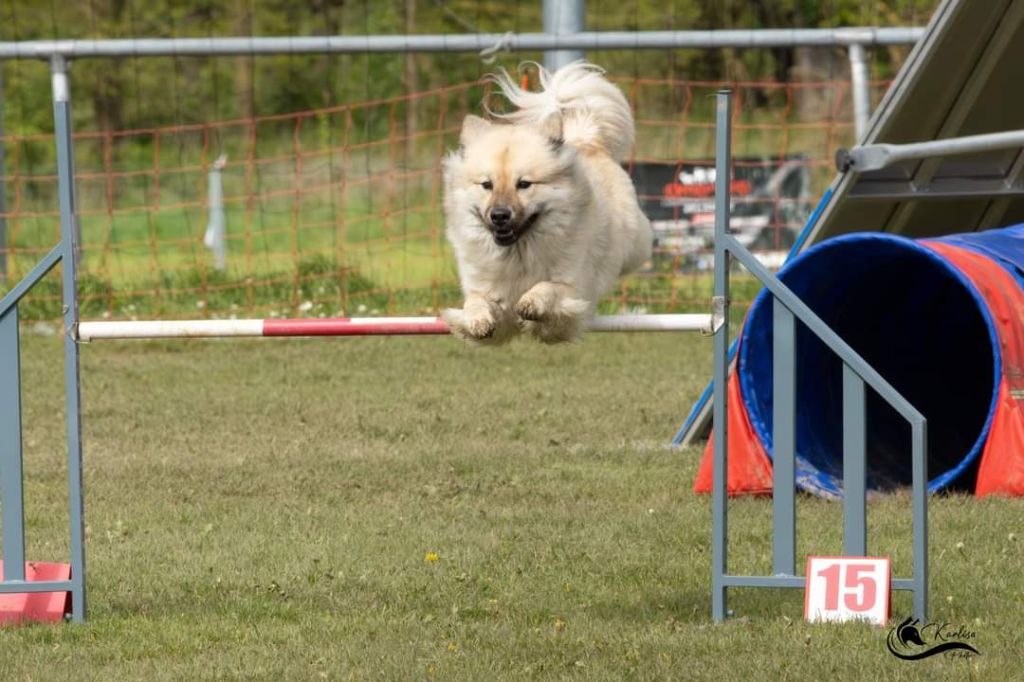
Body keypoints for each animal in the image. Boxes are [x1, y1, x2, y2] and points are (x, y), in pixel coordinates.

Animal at [438, 61, 647, 342]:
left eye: (524, 184)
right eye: (487, 185)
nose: (499, 215)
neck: (517, 252)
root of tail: (586, 139)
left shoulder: (573, 287)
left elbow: (548, 286)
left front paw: (530, 302)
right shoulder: (487, 292)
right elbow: (476, 301)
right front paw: (478, 321)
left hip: (634, 245)